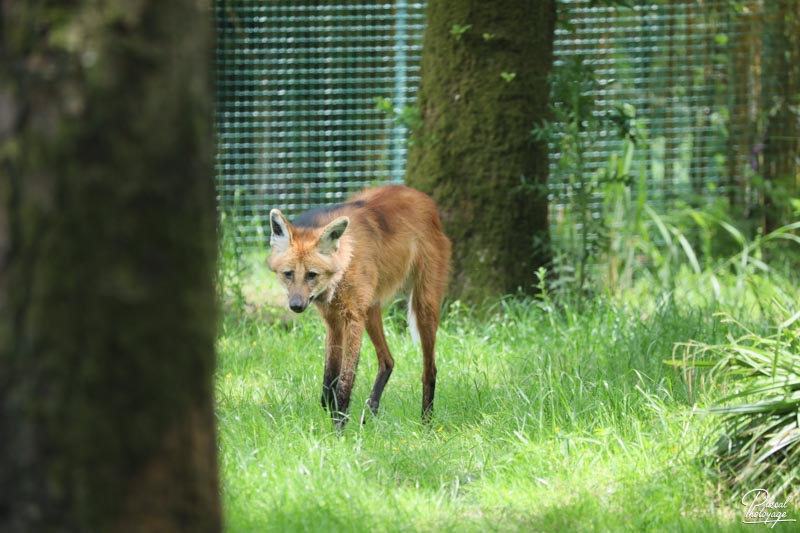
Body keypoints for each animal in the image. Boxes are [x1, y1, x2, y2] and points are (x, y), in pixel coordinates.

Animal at [270, 185, 450, 426]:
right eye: (288, 274)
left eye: (311, 275)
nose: (296, 305)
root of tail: (423, 197)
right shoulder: (334, 321)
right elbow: (328, 387)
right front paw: (333, 418)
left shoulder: (353, 318)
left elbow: (344, 385)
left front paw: (339, 428)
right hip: (371, 310)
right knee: (388, 360)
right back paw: (370, 413)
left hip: (423, 307)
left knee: (429, 370)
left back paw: (426, 423)